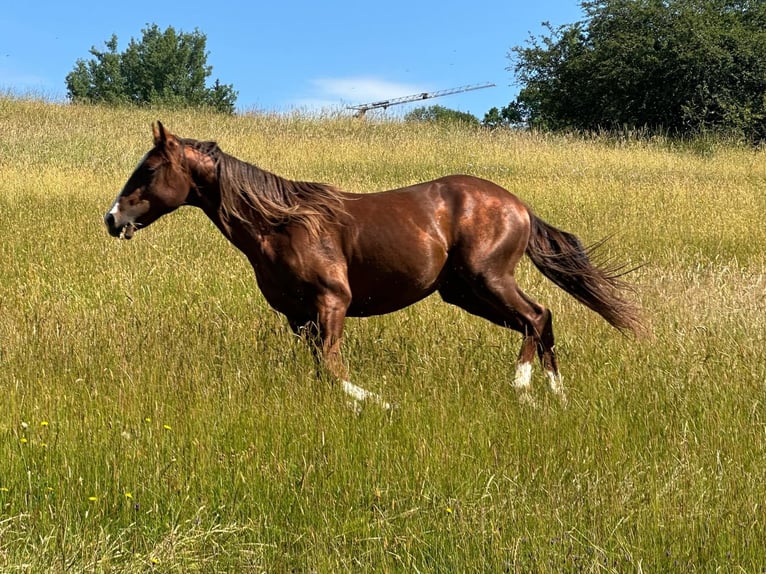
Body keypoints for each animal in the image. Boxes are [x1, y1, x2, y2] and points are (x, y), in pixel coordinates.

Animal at [105, 122, 642, 409]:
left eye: (149, 169)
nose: (112, 218)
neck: (281, 224)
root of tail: (520, 207)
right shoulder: (298, 317)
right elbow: (317, 370)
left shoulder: (332, 302)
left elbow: (332, 368)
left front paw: (383, 402)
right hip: (465, 292)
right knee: (541, 319)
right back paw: (557, 396)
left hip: (487, 279)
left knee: (536, 316)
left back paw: (524, 390)